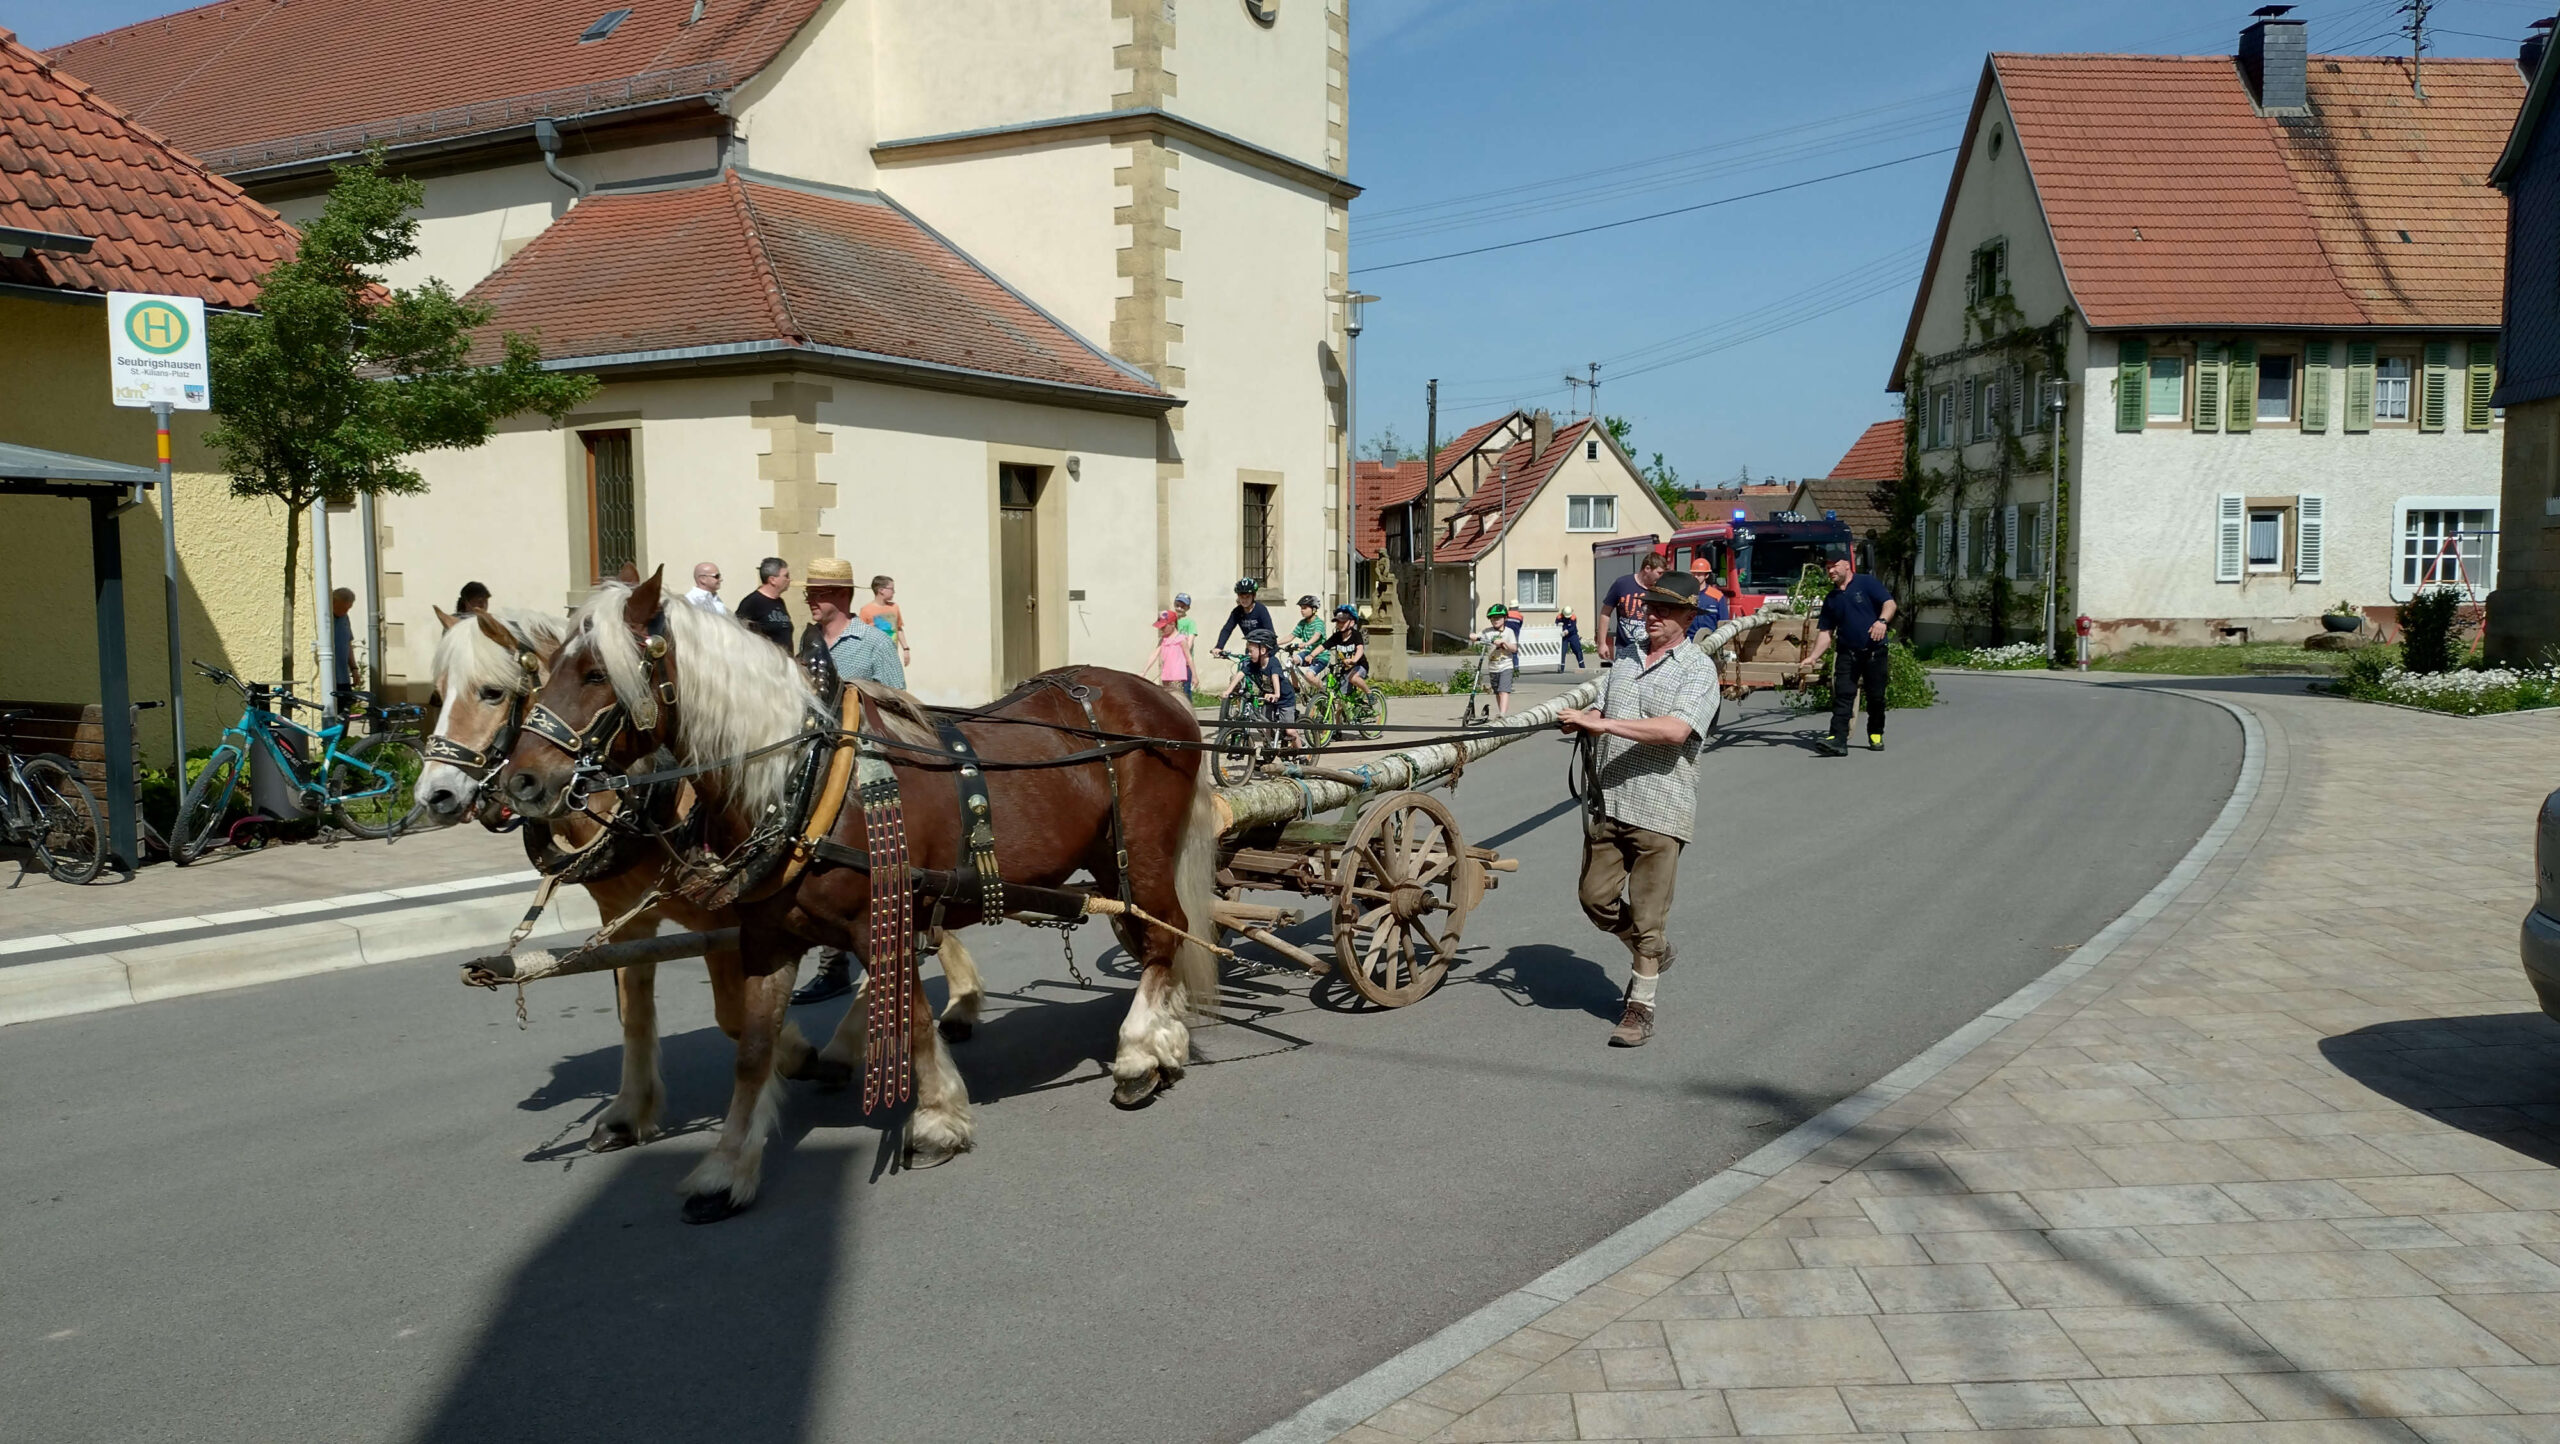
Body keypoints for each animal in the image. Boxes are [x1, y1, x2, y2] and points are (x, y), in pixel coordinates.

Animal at [409, 604, 989, 1158]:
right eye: (435, 695)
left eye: (491, 692)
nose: (435, 795)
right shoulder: (624, 918)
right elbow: (633, 1013)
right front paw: (627, 1113)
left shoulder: (728, 921)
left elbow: (734, 1016)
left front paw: (797, 1055)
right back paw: (946, 1008)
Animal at [497, 569, 1221, 1223]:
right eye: (544, 672)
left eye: (596, 673)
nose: (521, 782)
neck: (806, 777)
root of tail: (1164, 702)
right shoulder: (766, 936)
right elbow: (752, 1048)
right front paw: (727, 1167)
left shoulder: (882, 922)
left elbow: (914, 1018)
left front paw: (936, 1120)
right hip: (1108, 867)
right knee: (1151, 937)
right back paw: (1166, 1040)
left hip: (1142, 856)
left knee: (1165, 934)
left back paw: (1139, 1053)